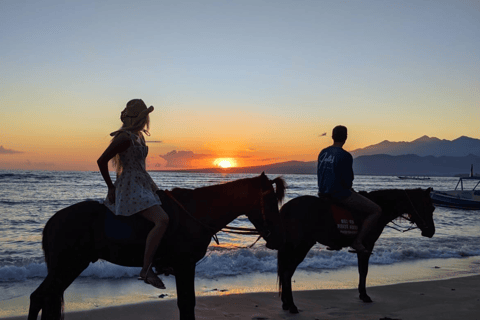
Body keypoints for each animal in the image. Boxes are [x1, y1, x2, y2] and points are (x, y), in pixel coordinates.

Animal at [29, 172, 284, 320]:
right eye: (271, 200)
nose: (276, 238)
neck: (197, 212)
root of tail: (53, 221)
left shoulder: (184, 267)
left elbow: (187, 304)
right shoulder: (185, 266)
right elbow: (187, 304)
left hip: (68, 268)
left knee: (46, 298)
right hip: (67, 267)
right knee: (38, 297)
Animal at [276, 188, 436, 312]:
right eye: (430, 207)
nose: (431, 232)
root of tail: (286, 208)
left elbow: (361, 270)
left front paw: (362, 293)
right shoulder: (367, 246)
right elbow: (364, 270)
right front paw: (364, 295)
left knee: (285, 272)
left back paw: (285, 303)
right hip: (301, 246)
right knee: (287, 273)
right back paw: (291, 306)